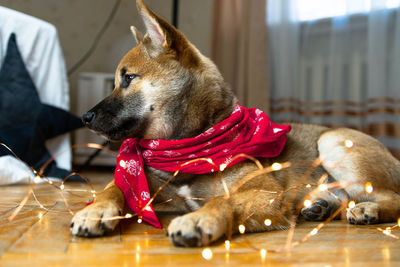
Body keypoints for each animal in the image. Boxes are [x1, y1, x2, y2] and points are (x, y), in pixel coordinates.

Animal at [70, 0, 400, 248]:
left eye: (128, 78)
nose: (85, 117)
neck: (189, 146)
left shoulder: (264, 194)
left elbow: (224, 201)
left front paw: (199, 218)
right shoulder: (146, 184)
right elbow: (114, 188)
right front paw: (95, 210)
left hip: (333, 144)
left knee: (391, 197)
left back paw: (367, 208)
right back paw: (321, 206)